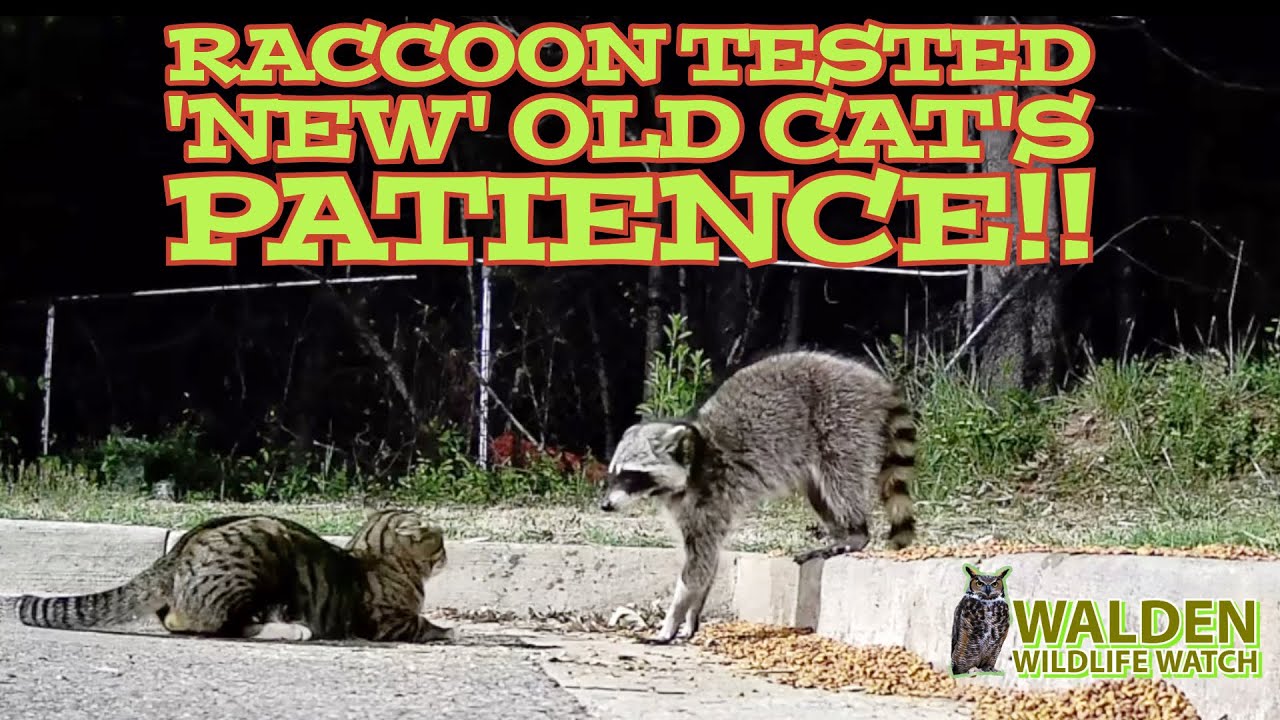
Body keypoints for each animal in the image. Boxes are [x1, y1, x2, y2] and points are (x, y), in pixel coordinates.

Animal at [17, 509, 456, 643]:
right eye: (439, 544)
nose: (448, 556)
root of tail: (178, 549)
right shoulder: (387, 623)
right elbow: (423, 623)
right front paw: (447, 631)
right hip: (258, 558)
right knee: (224, 625)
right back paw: (292, 629)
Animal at [600, 349, 917, 644]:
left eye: (630, 475)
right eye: (614, 474)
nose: (605, 505)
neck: (696, 460)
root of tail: (872, 380)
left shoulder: (709, 500)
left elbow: (697, 566)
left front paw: (671, 621)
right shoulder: (689, 509)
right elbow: (707, 562)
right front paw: (691, 616)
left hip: (842, 418)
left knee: (840, 478)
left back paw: (856, 533)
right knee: (820, 493)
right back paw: (841, 533)